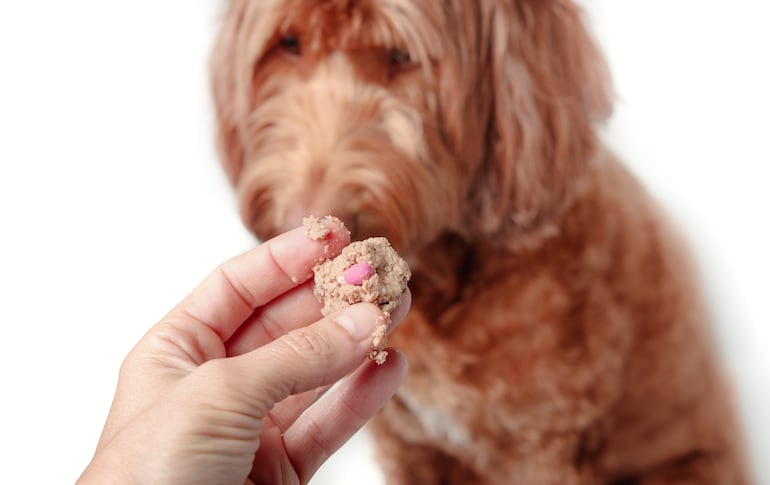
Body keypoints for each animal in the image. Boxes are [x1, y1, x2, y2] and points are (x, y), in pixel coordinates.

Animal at [207, 0, 748, 480]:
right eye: (289, 44)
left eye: (402, 54)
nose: (298, 220)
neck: (448, 280)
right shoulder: (407, 444)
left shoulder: (545, 444)